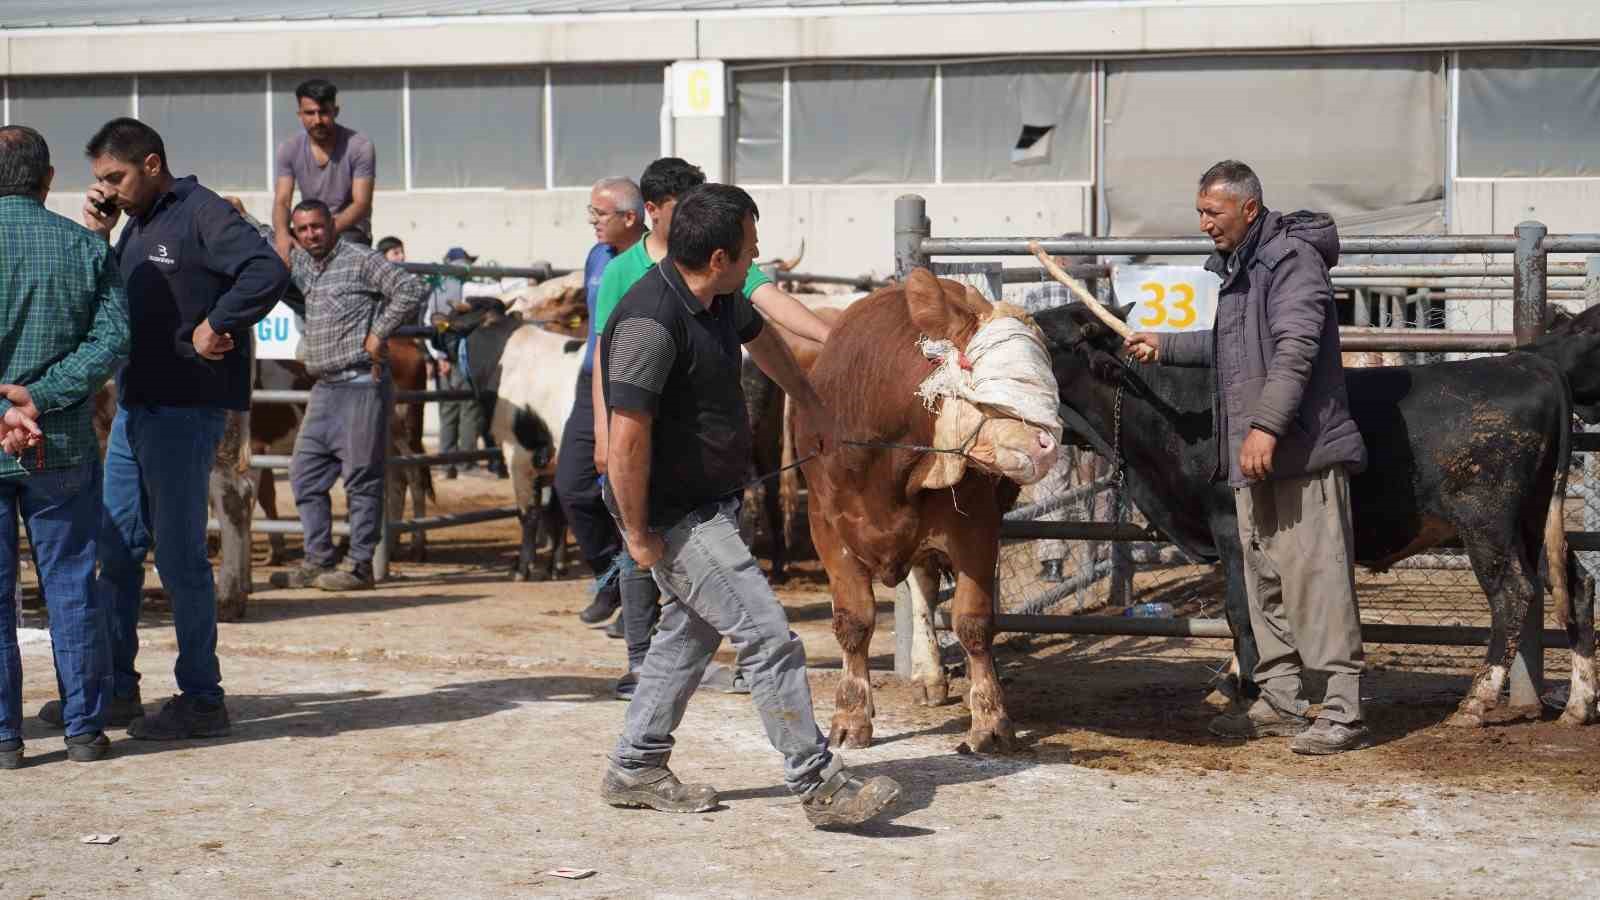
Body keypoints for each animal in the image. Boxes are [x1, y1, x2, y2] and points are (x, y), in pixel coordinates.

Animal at [800, 267, 1062, 749]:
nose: (1047, 444)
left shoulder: (975, 526)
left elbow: (973, 621)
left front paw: (989, 720)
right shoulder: (826, 527)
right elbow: (853, 621)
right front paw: (851, 714)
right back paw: (926, 673)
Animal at [1030, 304, 1593, 723]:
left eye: (1040, 332)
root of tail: (1525, 365)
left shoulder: (1232, 527)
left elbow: (1242, 608)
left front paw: (1250, 691)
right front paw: (1238, 682)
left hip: (1488, 522)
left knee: (1512, 593)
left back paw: (1476, 702)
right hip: (1534, 520)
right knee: (1577, 586)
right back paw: (1581, 704)